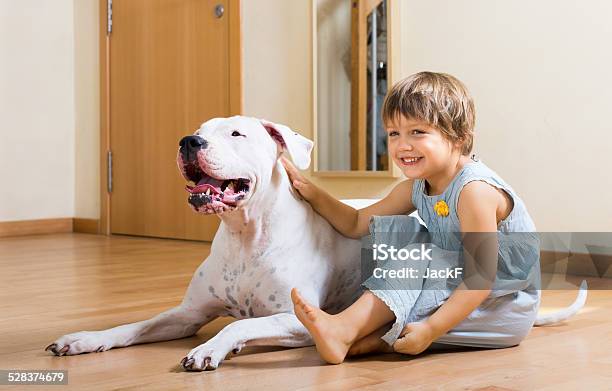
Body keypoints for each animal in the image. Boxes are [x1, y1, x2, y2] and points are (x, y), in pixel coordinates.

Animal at [46, 115, 584, 370]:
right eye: (197, 131)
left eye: (236, 133)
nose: (187, 142)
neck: (246, 234)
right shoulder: (187, 314)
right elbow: (135, 325)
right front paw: (86, 338)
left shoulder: (293, 319)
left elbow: (239, 325)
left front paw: (213, 350)